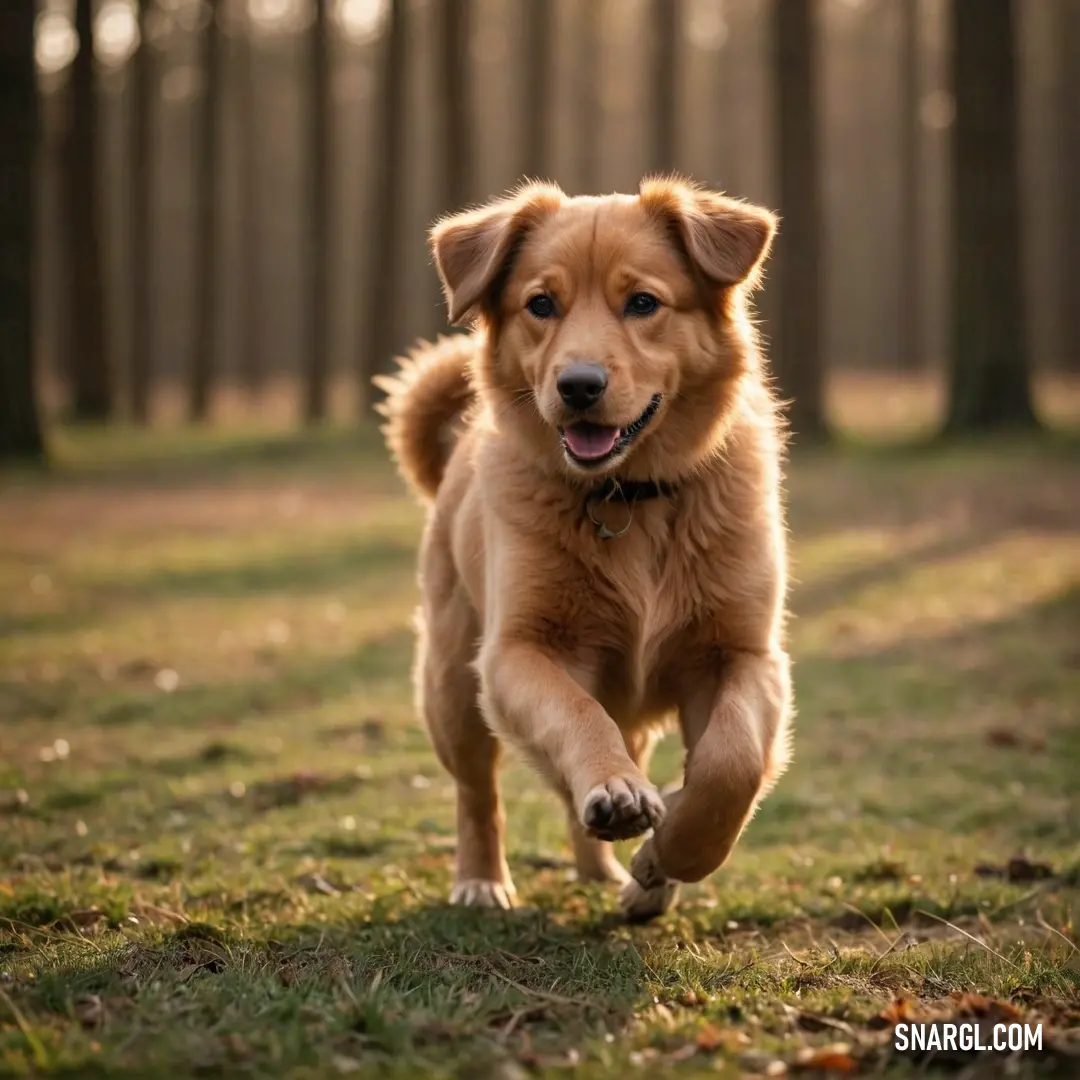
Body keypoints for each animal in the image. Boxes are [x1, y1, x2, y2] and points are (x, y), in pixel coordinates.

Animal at [378, 177, 794, 920]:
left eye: (643, 303)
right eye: (541, 304)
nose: (578, 385)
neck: (628, 499)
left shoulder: (744, 653)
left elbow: (732, 763)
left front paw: (668, 856)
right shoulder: (519, 652)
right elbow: (577, 717)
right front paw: (622, 798)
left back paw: (615, 871)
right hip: (452, 685)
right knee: (477, 792)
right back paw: (482, 879)